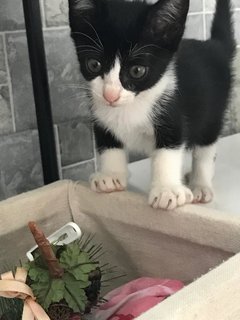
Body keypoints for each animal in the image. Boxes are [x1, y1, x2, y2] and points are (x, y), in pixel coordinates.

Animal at [68, 0, 234, 210]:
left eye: (137, 70)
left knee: (206, 148)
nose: (110, 95)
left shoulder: (172, 110)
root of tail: (214, 45)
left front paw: (167, 189)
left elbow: (169, 148)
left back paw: (200, 184)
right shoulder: (98, 112)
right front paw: (111, 175)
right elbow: (108, 141)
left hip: (212, 112)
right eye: (94, 64)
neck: (132, 106)